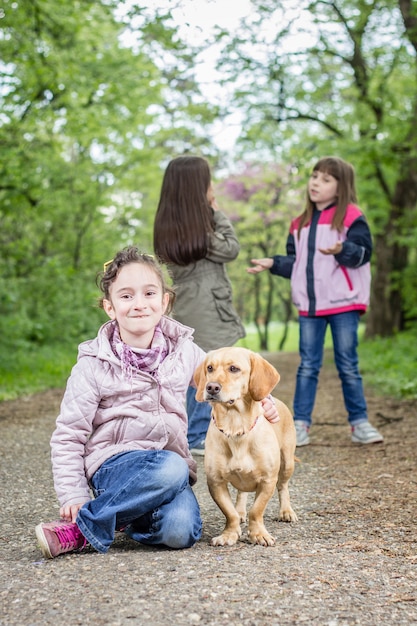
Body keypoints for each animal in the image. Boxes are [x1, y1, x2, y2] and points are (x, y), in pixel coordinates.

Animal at [193, 346, 298, 544]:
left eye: (234, 368)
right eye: (210, 368)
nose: (211, 387)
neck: (235, 427)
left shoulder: (267, 481)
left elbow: (256, 510)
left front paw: (258, 534)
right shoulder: (215, 482)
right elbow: (230, 513)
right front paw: (229, 534)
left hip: (287, 463)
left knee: (283, 487)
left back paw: (286, 511)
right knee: (242, 494)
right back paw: (241, 511)